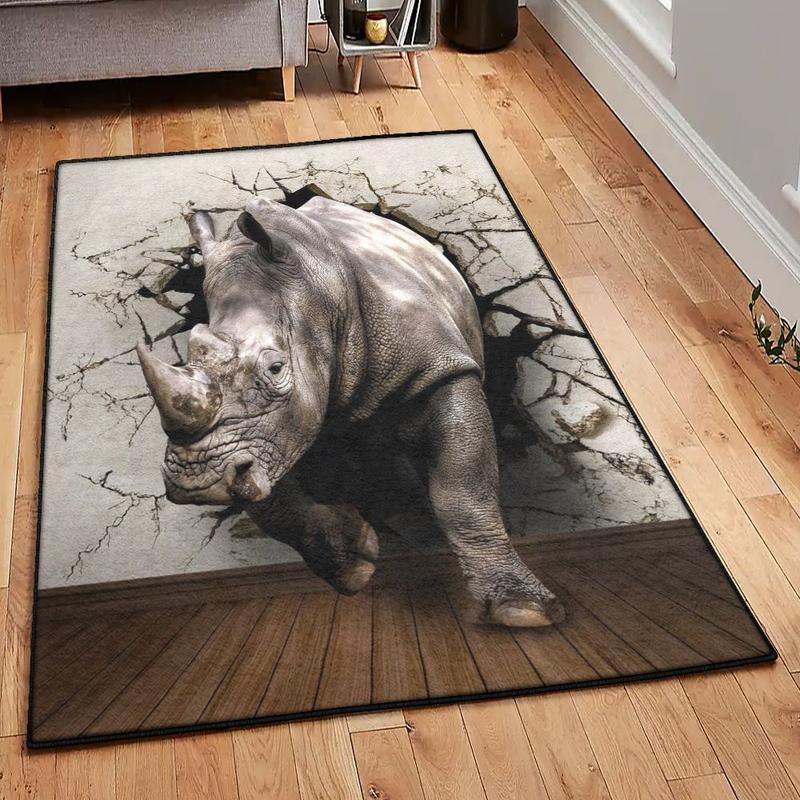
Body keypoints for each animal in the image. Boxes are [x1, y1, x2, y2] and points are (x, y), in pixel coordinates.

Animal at [137, 195, 565, 628]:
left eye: (275, 368)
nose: (196, 483)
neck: (316, 293)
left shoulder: (440, 369)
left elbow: (463, 487)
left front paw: (521, 610)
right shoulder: (268, 432)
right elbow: (272, 501)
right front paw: (355, 559)